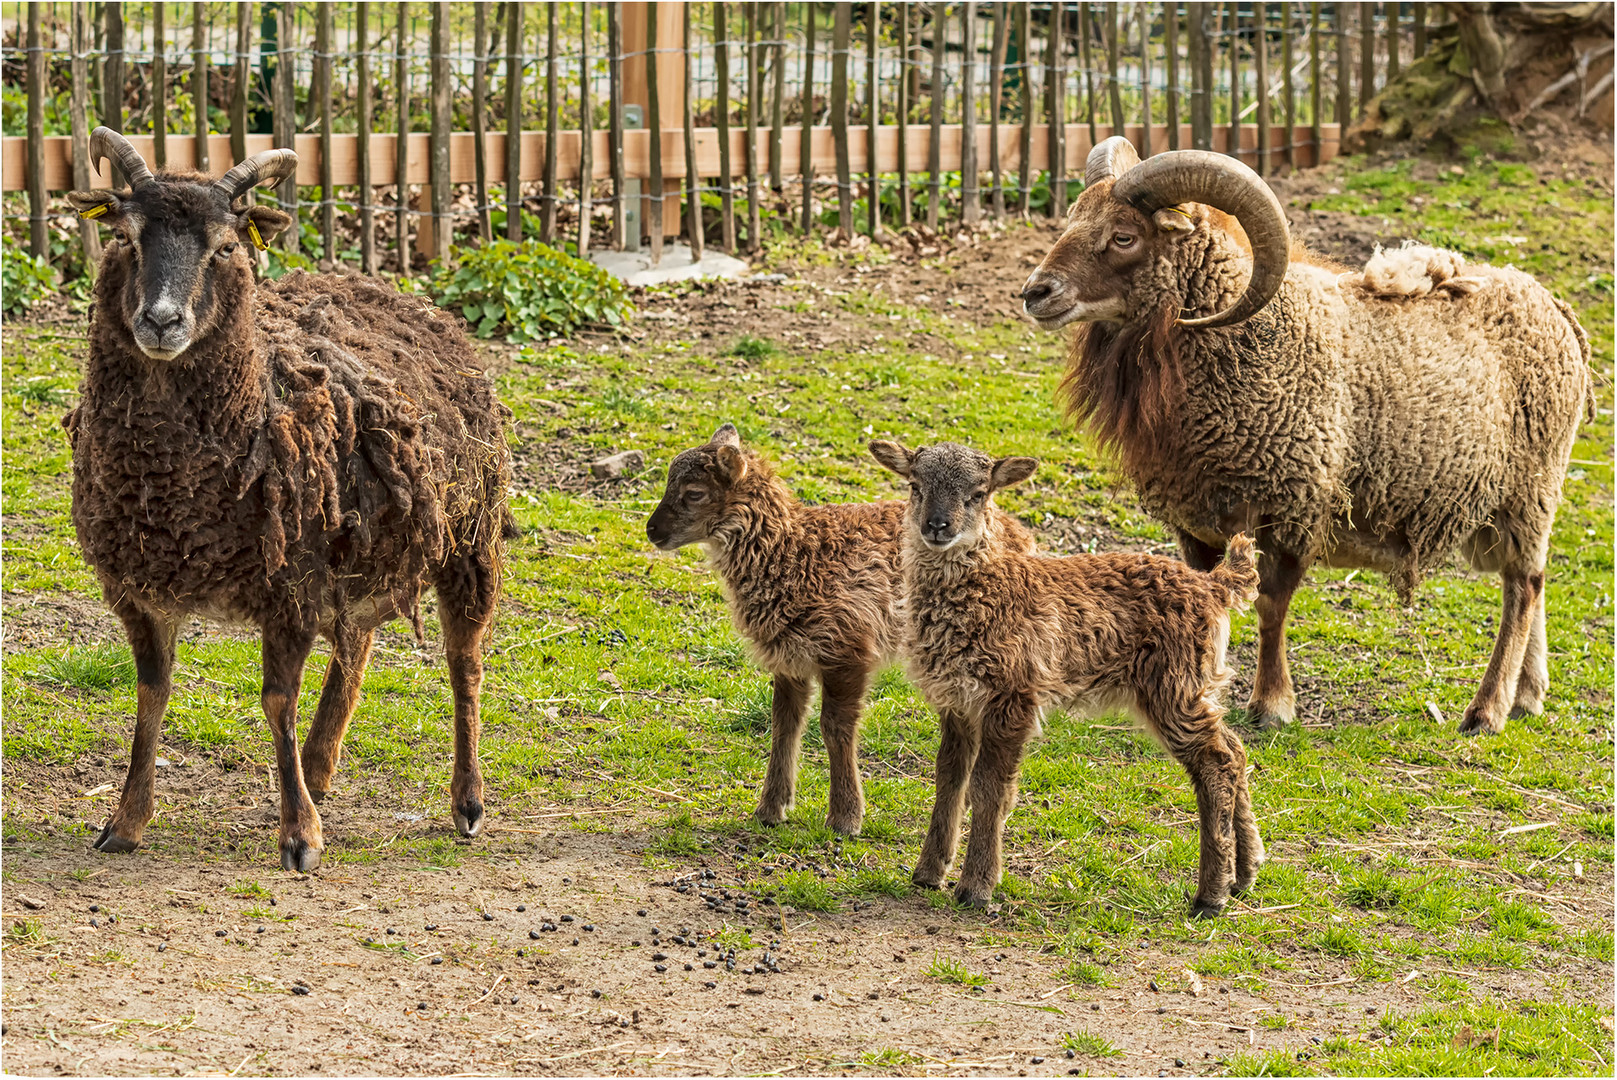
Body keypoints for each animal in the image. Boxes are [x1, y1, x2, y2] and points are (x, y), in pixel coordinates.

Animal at [64, 128, 510, 866]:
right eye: (125, 237)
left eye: (225, 246)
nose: (162, 321)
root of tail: (389, 289)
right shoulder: (142, 585)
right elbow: (152, 694)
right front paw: (125, 821)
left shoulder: (291, 585)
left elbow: (278, 699)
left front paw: (299, 835)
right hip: (356, 546)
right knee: (358, 644)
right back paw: (320, 768)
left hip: (468, 536)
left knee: (464, 660)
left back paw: (467, 801)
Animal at [646, 423, 1034, 834]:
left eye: (694, 493)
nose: (652, 530)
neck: (792, 556)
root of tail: (1020, 533)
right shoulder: (789, 654)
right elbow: (784, 723)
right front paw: (771, 808)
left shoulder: (847, 646)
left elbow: (834, 727)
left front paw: (845, 817)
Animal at [873, 439, 1261, 918]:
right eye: (915, 485)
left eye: (978, 494)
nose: (937, 526)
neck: (987, 589)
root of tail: (1213, 586)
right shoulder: (956, 699)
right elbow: (949, 779)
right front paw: (928, 873)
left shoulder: (1013, 694)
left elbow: (989, 788)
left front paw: (976, 888)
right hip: (1197, 684)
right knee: (1235, 749)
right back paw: (1244, 874)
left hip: (1173, 685)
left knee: (1215, 763)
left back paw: (1210, 896)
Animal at [1021, 137, 1591, 734]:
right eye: (1074, 218)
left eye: (1124, 236)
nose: (1034, 293)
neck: (1246, 336)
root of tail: (1556, 308)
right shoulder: (1194, 513)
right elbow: (1207, 597)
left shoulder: (1294, 500)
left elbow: (1272, 604)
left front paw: (1272, 704)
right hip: (1507, 507)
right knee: (1533, 577)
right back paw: (1528, 696)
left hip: (1530, 488)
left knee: (1522, 589)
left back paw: (1487, 710)